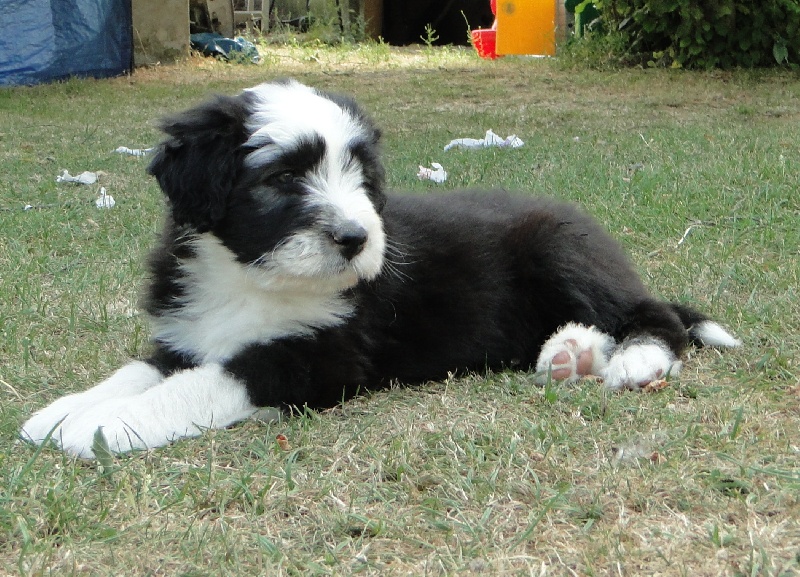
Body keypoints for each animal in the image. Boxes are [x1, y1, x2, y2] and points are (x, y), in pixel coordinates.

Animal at [21, 79, 740, 458]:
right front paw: (61, 411)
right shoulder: (185, 335)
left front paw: (103, 427)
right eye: (281, 178)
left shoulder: (317, 357)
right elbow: (141, 371)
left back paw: (635, 358)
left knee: (654, 316)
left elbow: (199, 386)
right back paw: (572, 353)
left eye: (360, 177)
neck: (252, 278)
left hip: (563, 250)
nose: (355, 237)